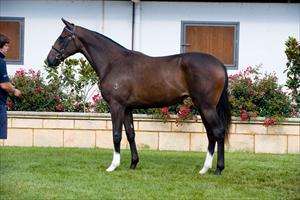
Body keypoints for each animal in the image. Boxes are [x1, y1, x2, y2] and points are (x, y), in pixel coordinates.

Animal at [46, 18, 232, 175]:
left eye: (62, 37)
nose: (49, 60)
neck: (113, 62)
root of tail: (219, 64)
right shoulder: (127, 108)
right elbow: (130, 135)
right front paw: (133, 163)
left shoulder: (116, 105)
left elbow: (116, 135)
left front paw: (113, 166)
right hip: (201, 106)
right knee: (210, 134)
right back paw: (204, 169)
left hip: (207, 107)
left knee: (218, 132)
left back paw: (218, 169)